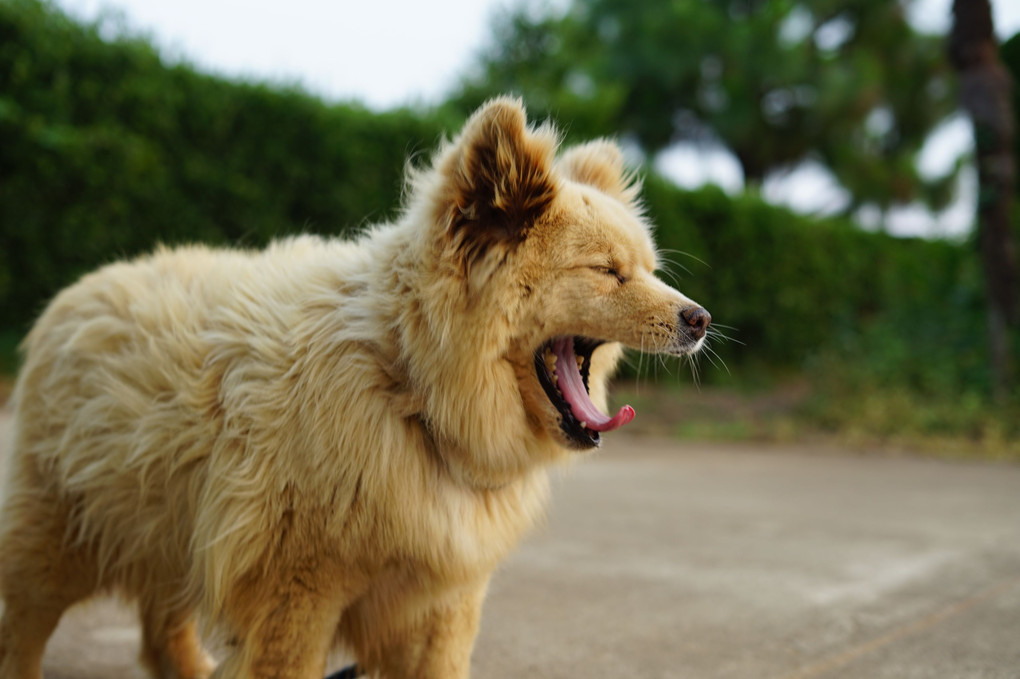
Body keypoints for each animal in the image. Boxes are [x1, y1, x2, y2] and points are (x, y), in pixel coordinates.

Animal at [0, 96, 709, 676]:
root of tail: (76, 294)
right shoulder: (293, 597)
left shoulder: (443, 607)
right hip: (59, 541)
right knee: (23, 627)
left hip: (174, 530)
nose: (700, 319)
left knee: (160, 625)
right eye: (607, 272)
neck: (410, 386)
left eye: (647, 269)